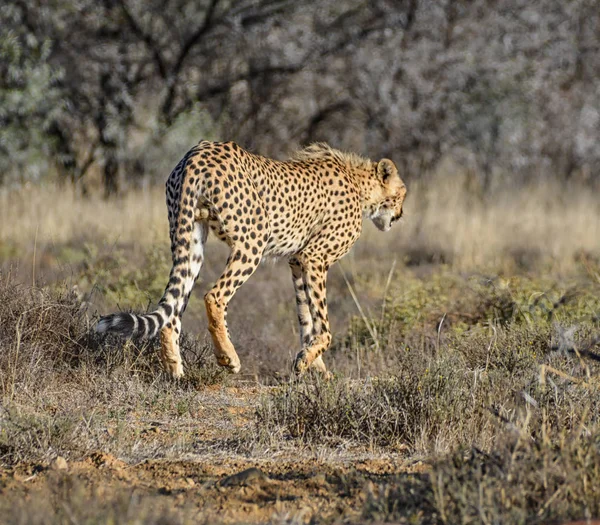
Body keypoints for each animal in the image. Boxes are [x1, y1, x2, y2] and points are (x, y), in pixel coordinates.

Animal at [97, 139, 408, 376]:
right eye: (403, 193)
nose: (401, 215)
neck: (360, 185)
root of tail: (197, 152)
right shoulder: (314, 257)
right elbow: (324, 324)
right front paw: (312, 362)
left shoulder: (297, 261)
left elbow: (306, 317)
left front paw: (312, 364)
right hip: (252, 242)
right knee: (214, 297)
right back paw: (228, 357)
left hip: (189, 238)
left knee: (173, 308)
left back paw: (176, 370)